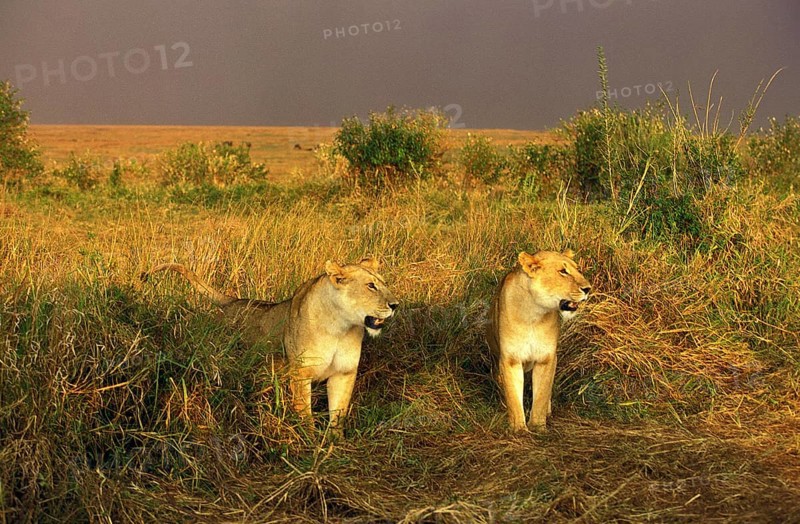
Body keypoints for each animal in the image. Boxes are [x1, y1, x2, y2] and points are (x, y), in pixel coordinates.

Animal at [141, 257, 398, 434]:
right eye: (371, 286)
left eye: (385, 284)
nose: (395, 304)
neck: (341, 328)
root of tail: (233, 301)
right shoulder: (300, 373)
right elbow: (304, 413)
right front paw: (310, 443)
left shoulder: (344, 373)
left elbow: (338, 414)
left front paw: (335, 445)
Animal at [485, 250, 591, 431]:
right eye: (563, 272)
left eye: (578, 269)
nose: (588, 289)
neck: (533, 315)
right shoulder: (510, 359)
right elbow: (513, 396)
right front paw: (519, 428)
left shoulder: (546, 358)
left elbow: (541, 394)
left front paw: (537, 426)